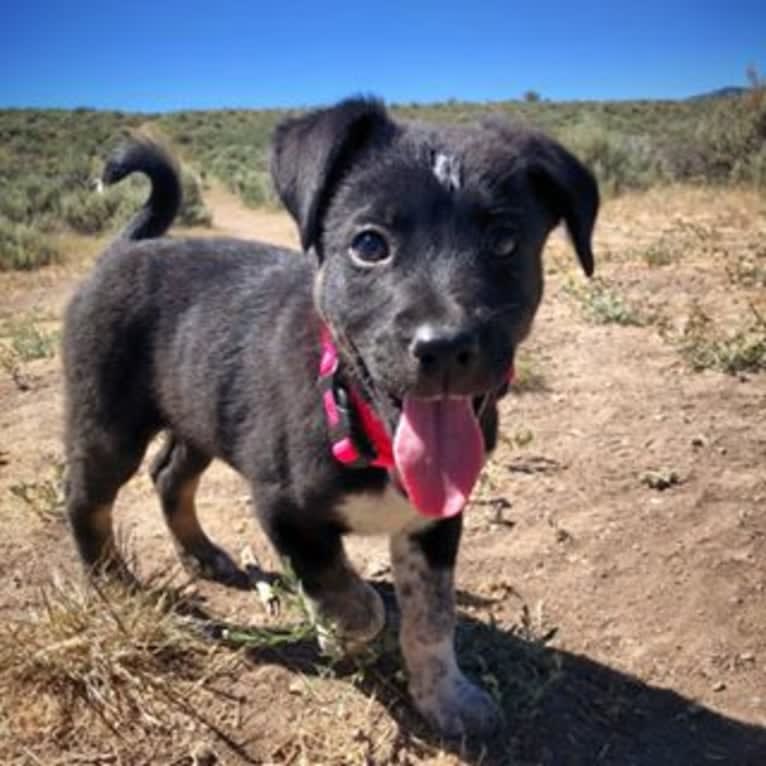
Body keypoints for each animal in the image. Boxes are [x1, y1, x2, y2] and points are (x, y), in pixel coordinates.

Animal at [63, 99, 600, 740]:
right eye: (369, 245)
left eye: (504, 242)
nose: (445, 346)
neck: (361, 420)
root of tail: (128, 246)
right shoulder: (282, 506)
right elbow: (339, 584)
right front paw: (350, 625)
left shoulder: (436, 521)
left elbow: (432, 617)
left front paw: (446, 697)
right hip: (109, 421)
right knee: (87, 501)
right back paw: (113, 584)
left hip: (202, 412)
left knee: (170, 473)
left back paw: (201, 554)